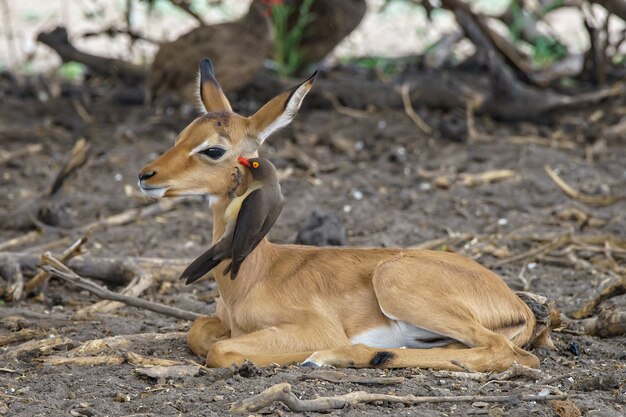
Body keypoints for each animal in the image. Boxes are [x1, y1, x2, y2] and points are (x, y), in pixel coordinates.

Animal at [138, 58, 540, 370]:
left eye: (213, 149)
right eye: (182, 135)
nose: (146, 175)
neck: (251, 275)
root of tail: (515, 301)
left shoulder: (314, 327)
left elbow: (221, 350)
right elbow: (199, 332)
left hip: (397, 286)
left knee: (505, 351)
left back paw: (344, 355)